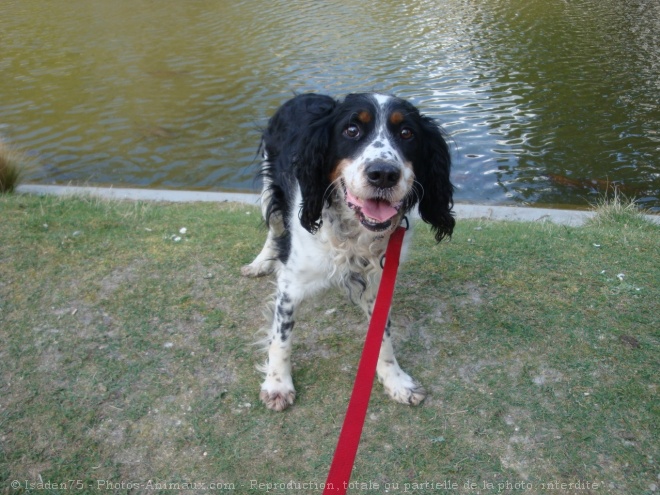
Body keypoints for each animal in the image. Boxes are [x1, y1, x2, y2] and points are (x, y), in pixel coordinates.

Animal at [242, 93, 454, 410]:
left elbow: (383, 337)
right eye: (351, 130)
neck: (353, 233)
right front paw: (277, 383)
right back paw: (260, 262)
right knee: (274, 228)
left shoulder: (379, 282)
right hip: (271, 187)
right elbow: (281, 337)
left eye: (407, 133)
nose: (383, 174)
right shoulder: (292, 284)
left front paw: (395, 380)